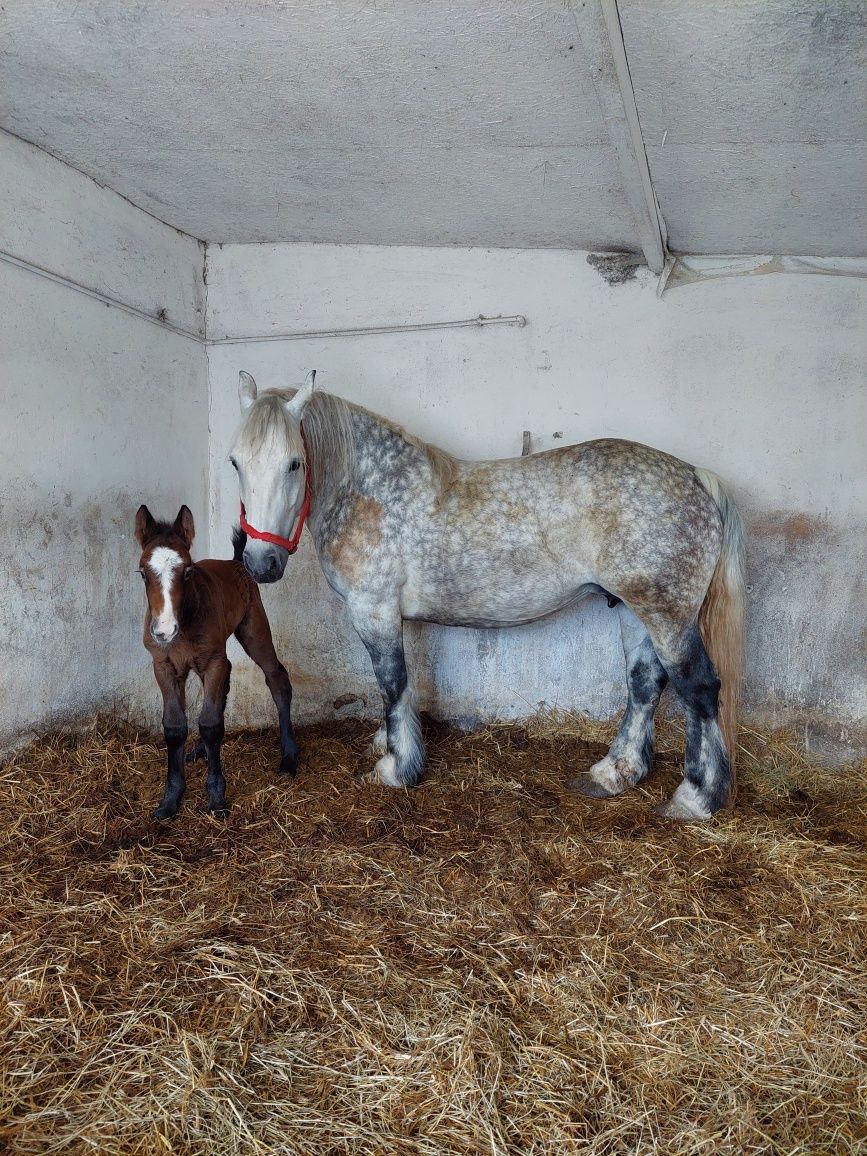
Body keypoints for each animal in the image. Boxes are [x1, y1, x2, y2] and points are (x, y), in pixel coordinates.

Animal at [135, 501, 298, 818]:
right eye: (142, 573)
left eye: (187, 571)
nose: (164, 630)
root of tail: (236, 563)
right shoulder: (164, 666)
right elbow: (175, 726)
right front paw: (170, 799)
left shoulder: (213, 662)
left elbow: (210, 723)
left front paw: (216, 797)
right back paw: (199, 750)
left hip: (254, 631)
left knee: (277, 678)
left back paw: (288, 758)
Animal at [231, 372, 749, 823]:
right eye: (235, 461)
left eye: (294, 463)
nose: (259, 562)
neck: (370, 492)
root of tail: (694, 475)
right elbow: (397, 686)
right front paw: (388, 745)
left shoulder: (373, 610)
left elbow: (392, 682)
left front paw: (396, 768)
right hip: (633, 608)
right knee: (644, 684)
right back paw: (613, 773)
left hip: (666, 612)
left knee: (699, 689)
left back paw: (695, 798)